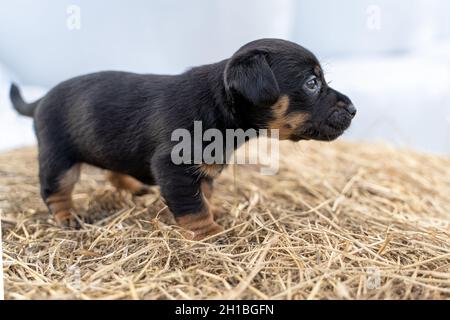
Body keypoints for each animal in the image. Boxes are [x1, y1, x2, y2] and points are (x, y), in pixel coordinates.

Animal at [11, 38, 356, 240]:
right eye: (312, 83)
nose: (353, 109)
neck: (219, 104)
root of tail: (39, 101)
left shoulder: (203, 170)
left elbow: (205, 195)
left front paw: (215, 213)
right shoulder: (174, 169)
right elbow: (193, 206)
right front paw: (210, 233)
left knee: (113, 170)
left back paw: (133, 187)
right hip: (59, 158)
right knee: (55, 191)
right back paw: (68, 218)